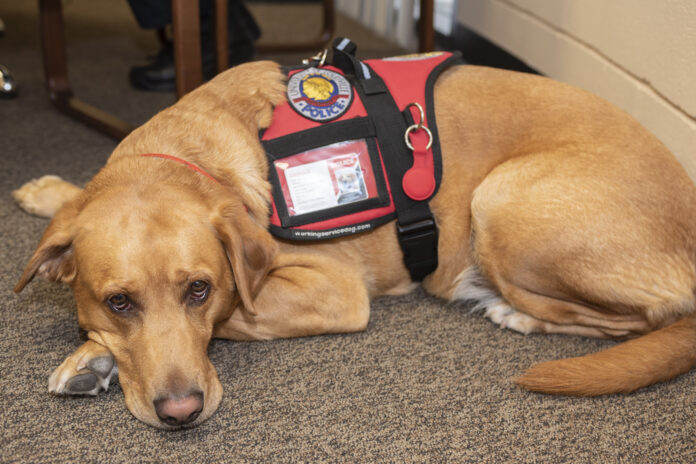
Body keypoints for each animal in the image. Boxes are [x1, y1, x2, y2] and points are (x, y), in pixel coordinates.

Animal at [12, 59, 696, 430]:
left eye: (200, 290)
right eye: (119, 301)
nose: (181, 410)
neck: (193, 156)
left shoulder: (331, 292)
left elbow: (236, 315)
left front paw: (92, 355)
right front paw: (52, 194)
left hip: (501, 200)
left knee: (639, 319)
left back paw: (511, 311)